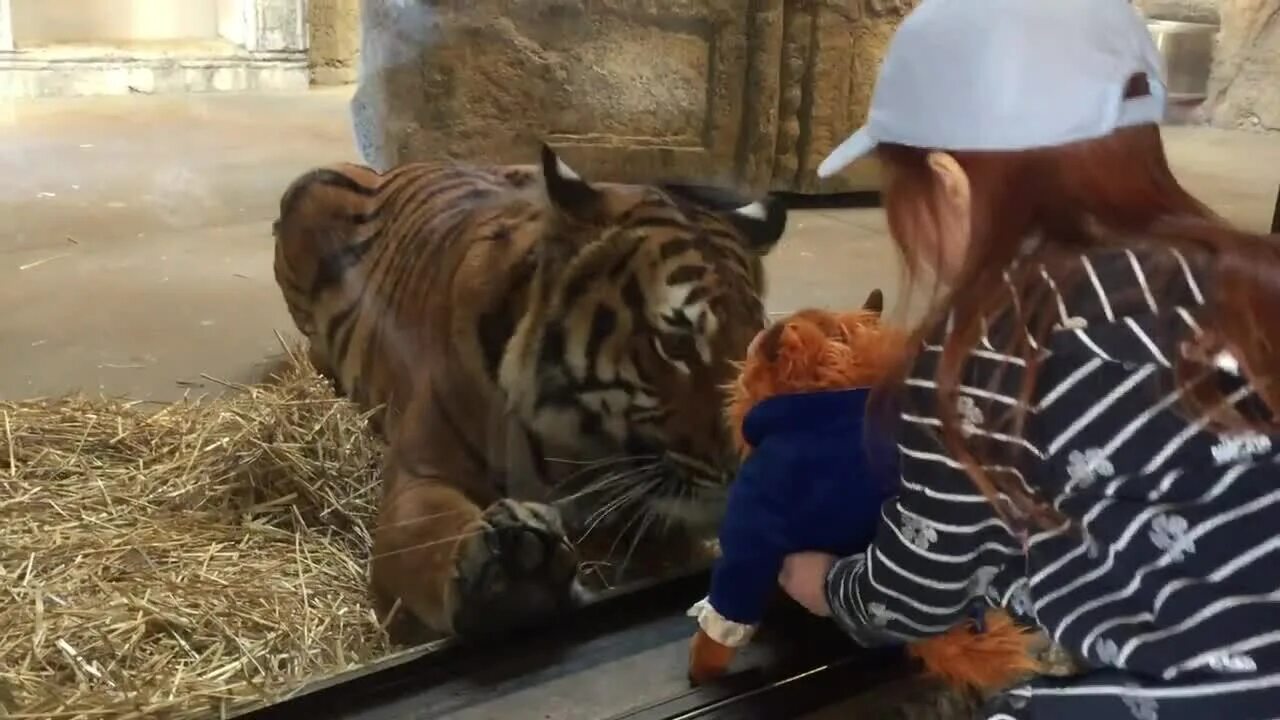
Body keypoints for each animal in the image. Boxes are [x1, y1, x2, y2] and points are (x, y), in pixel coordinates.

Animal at [275, 144, 783, 632]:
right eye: (674, 343)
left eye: (756, 343)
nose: (752, 463)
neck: (577, 443)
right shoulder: (419, 476)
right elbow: (428, 531)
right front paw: (515, 574)